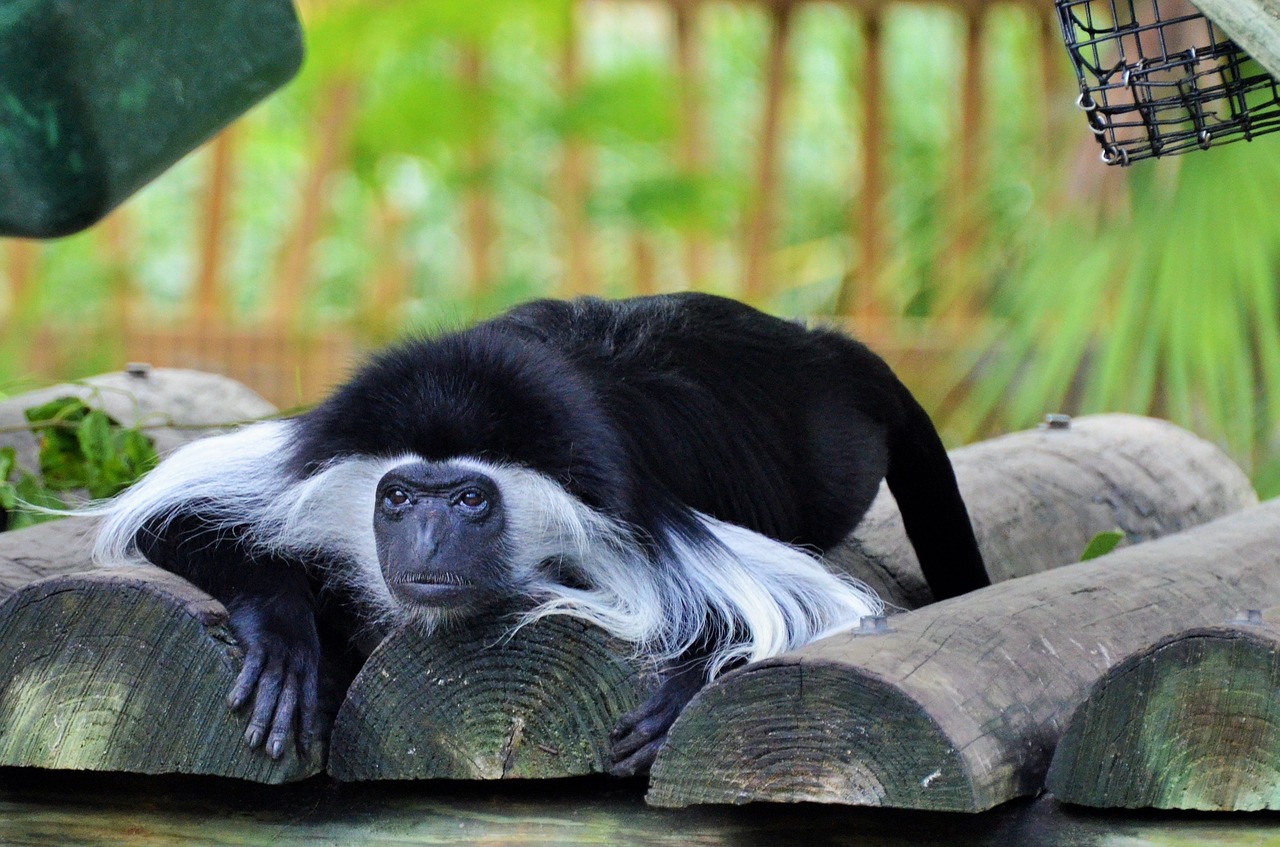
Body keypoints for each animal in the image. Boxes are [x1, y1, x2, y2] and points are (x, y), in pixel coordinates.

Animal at [92, 295, 988, 777]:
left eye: (468, 500)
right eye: (399, 497)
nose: (426, 543)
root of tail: (816, 350)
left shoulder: (625, 507)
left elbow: (807, 605)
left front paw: (679, 693)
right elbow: (172, 511)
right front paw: (283, 639)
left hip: (831, 455)